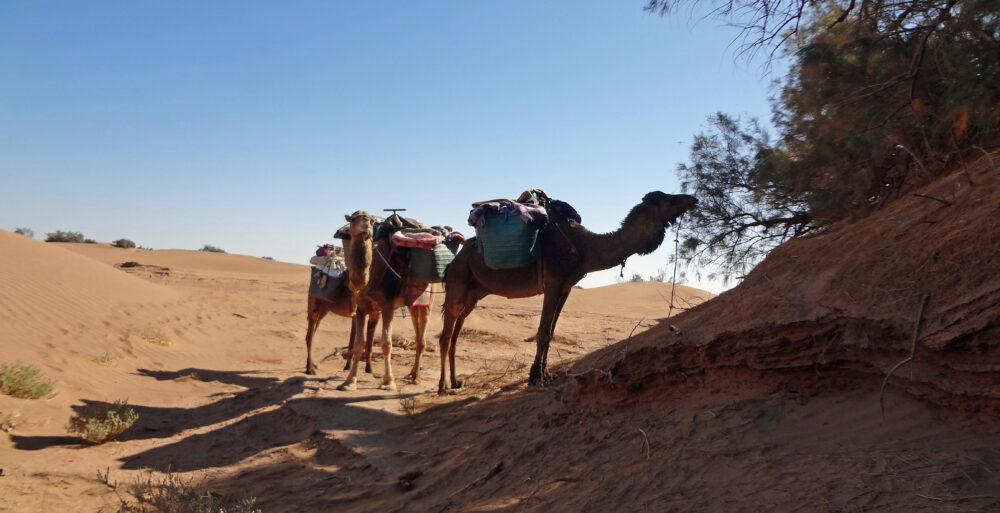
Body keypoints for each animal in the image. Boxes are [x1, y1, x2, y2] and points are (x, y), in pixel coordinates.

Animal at [438, 192, 696, 392]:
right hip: (458, 285)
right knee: (445, 335)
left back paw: (456, 382)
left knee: (456, 334)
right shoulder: (553, 284)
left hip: (473, 295)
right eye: (666, 198)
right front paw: (535, 378)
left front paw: (546, 375)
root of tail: (453, 262)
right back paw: (442, 387)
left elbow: (551, 333)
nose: (691, 199)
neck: (584, 248)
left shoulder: (566, 288)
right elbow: (542, 333)